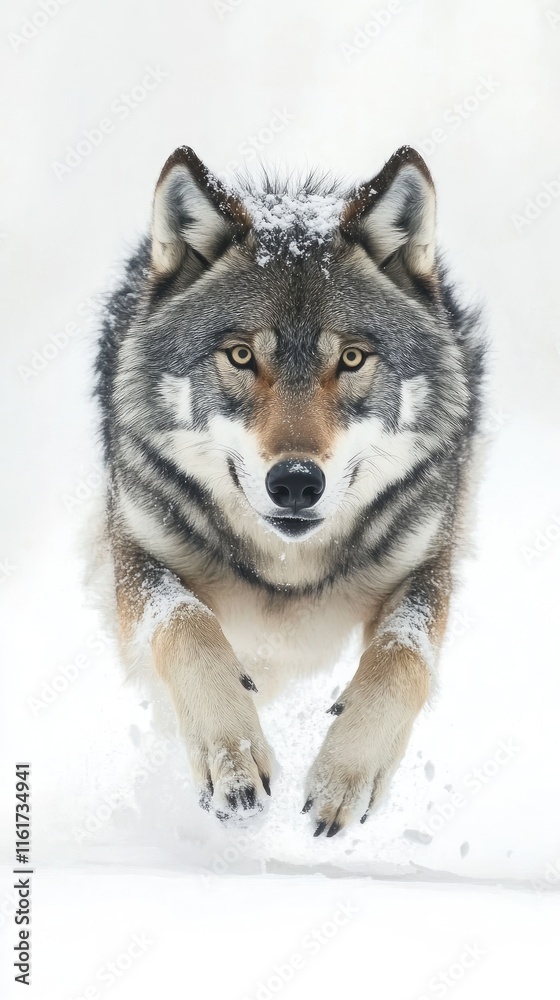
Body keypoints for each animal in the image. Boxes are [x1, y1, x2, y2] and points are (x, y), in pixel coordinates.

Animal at [95, 144, 484, 837]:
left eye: (351, 358)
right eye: (242, 356)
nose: (297, 483)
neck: (288, 569)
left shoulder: (427, 562)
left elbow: (401, 658)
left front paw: (345, 776)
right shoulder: (138, 552)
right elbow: (188, 626)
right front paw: (231, 758)